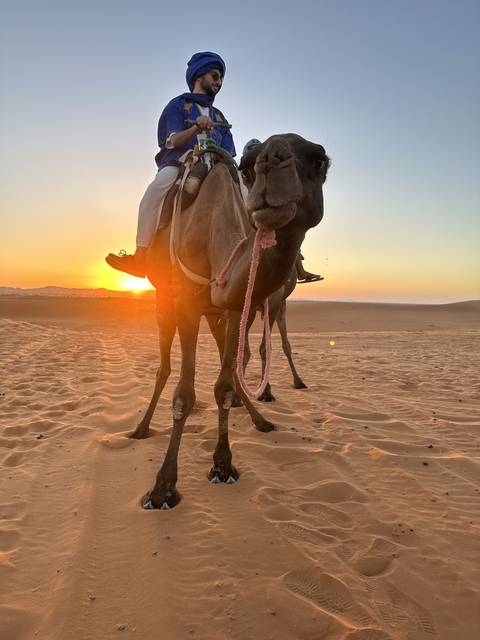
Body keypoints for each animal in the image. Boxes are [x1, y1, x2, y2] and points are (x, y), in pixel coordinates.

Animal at [130, 133, 330, 509]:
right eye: (248, 168)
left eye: (319, 160)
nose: (271, 161)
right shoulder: (187, 302)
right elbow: (184, 393)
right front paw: (162, 488)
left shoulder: (238, 306)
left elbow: (223, 384)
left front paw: (223, 464)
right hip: (164, 298)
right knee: (164, 367)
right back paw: (141, 428)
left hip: (219, 314)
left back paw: (260, 419)